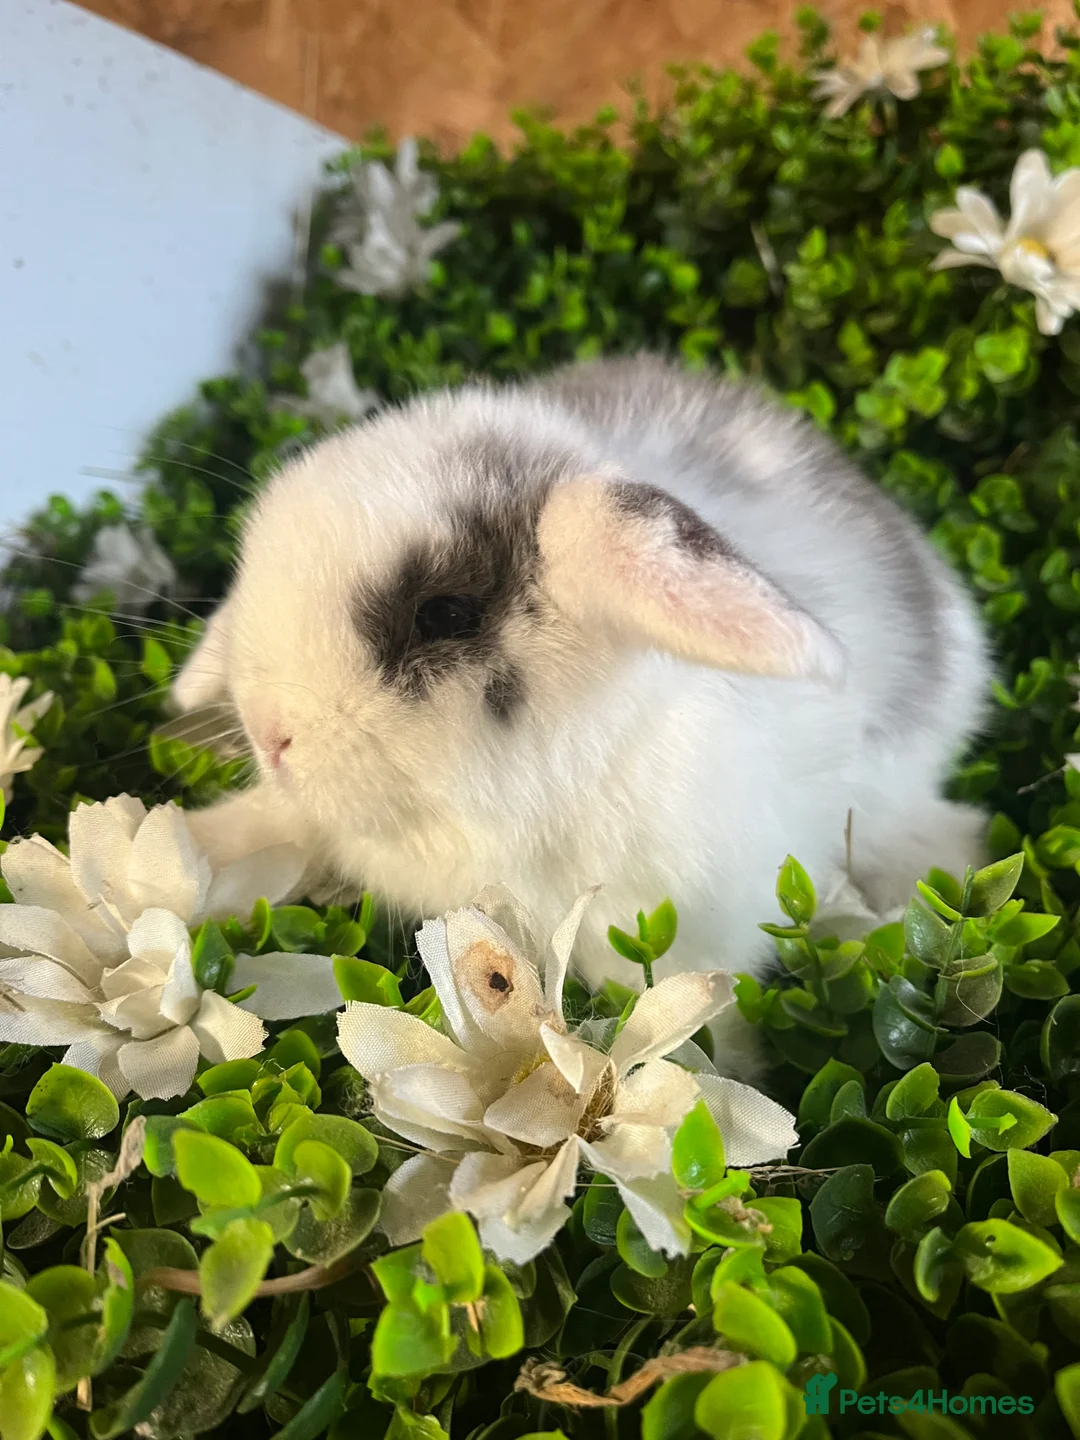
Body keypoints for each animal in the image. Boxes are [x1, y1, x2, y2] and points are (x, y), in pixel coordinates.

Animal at [173, 355, 990, 1074]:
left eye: (445, 614)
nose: (267, 733)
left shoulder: (693, 937)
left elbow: (699, 1028)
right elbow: (261, 829)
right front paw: (176, 854)